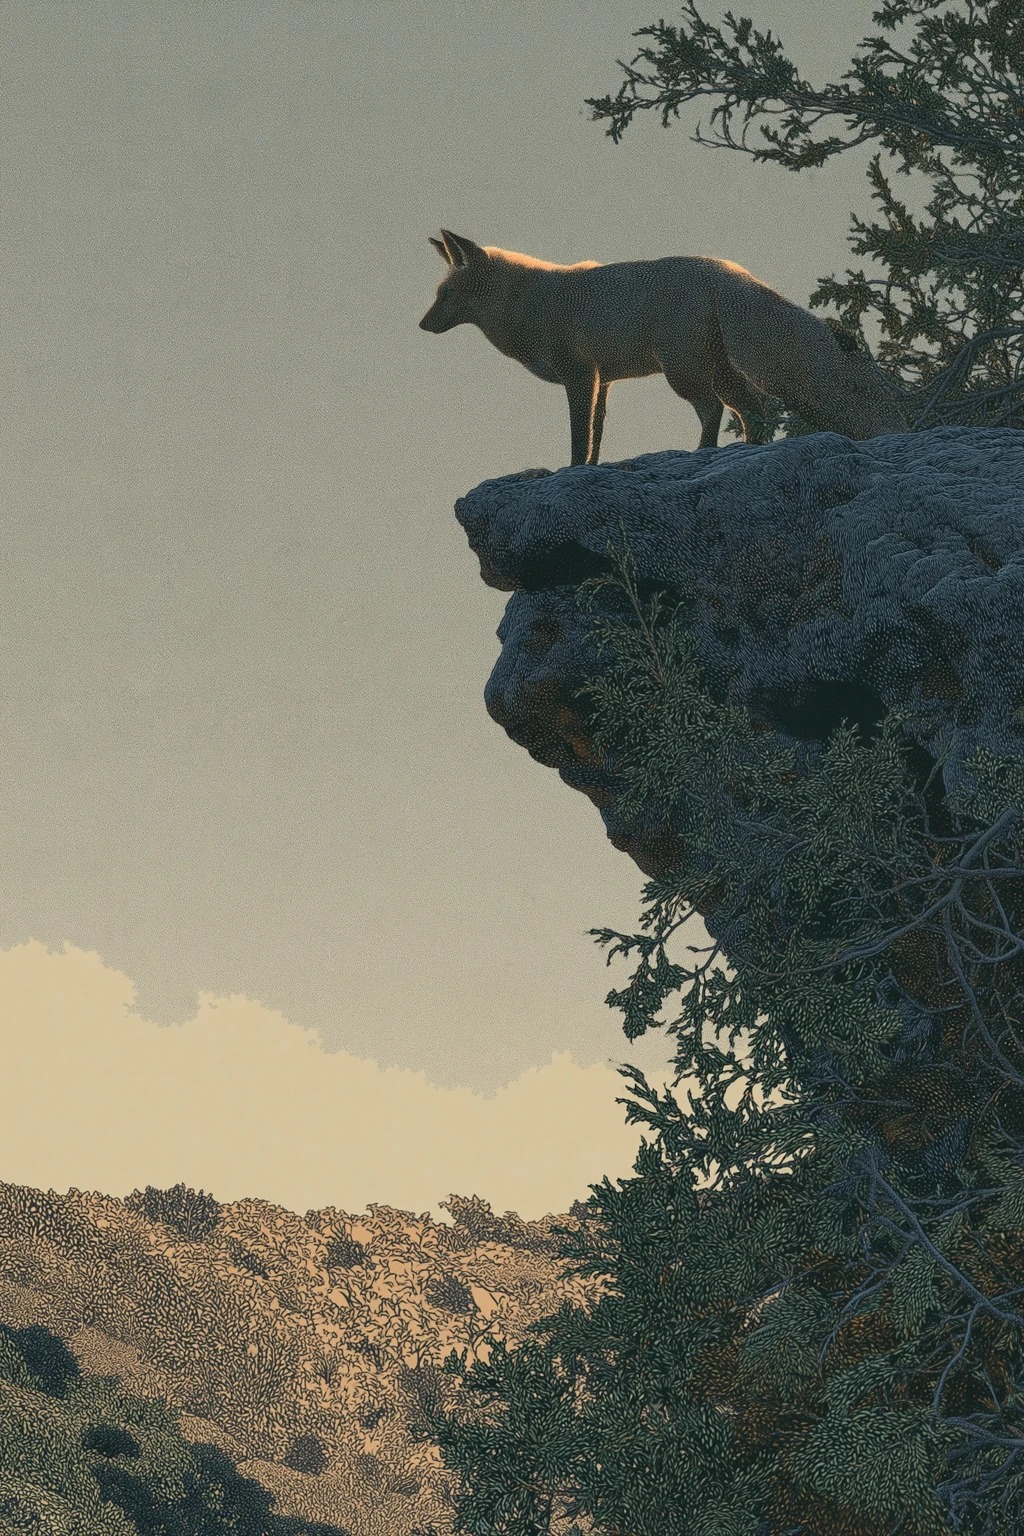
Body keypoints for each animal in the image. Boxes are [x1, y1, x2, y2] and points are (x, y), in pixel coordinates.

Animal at [419, 229, 908, 465]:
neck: (529, 304)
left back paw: (703, 454)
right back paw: (745, 452)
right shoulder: (602, 381)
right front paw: (591, 467)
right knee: (754, 410)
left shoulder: (580, 376)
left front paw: (571, 470)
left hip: (684, 374)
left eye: (445, 296)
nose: (421, 325)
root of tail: (727, 270)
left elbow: (579, 438)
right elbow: (596, 438)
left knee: (714, 410)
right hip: (718, 373)